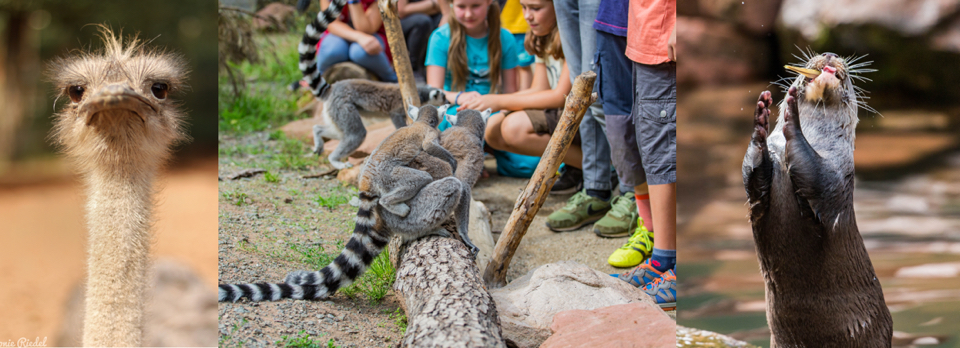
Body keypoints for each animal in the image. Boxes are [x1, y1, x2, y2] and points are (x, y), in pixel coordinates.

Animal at [744, 50, 892, 346]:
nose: (831, 54)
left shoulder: (835, 173)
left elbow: (812, 171)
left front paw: (792, 117)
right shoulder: (760, 185)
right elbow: (753, 175)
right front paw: (761, 118)